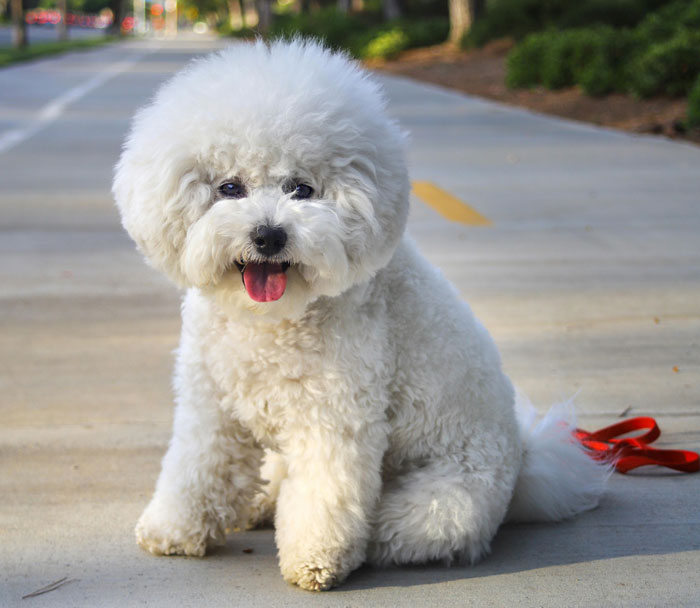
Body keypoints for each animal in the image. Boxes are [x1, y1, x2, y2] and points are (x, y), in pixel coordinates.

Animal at [112, 38, 608, 588]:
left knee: (396, 529)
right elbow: (196, 469)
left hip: (442, 504)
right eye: (230, 188)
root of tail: (524, 464)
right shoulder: (210, 406)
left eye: (301, 189)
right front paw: (174, 530)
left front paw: (314, 559)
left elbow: (324, 494)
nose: (268, 235)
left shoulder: (335, 417)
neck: (272, 321)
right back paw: (261, 502)